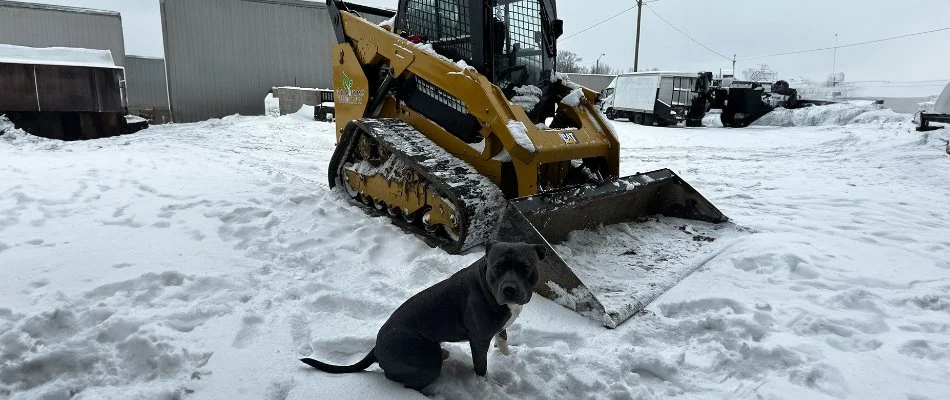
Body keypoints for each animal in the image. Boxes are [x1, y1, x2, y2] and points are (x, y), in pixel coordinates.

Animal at [302, 242, 548, 390]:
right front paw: (488, 384)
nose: (509, 289)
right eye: (497, 267)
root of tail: (376, 348)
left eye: (525, 267)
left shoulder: (500, 327)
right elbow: (481, 366)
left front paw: (508, 357)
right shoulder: (478, 339)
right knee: (399, 377)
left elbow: (503, 340)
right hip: (424, 359)